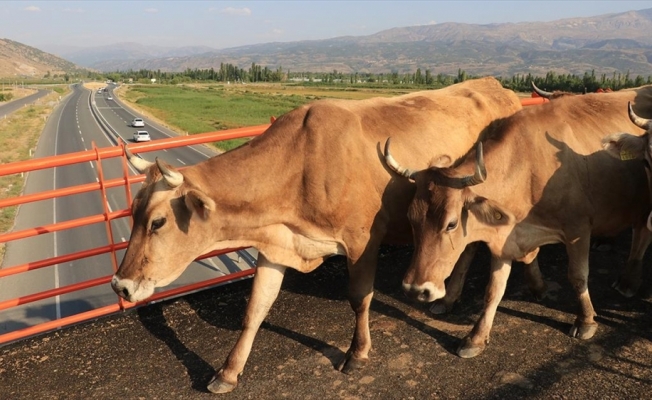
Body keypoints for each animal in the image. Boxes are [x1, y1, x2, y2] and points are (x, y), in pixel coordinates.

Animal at [108, 76, 524, 392]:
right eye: (132, 211)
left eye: (157, 222)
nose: (120, 285)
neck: (301, 164)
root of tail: (496, 85)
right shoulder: (276, 245)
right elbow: (255, 308)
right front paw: (228, 371)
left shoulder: (361, 241)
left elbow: (360, 299)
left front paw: (357, 354)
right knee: (466, 249)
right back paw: (447, 299)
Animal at [384, 85, 652, 360]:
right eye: (411, 218)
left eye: (451, 224)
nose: (415, 289)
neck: (527, 167)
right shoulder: (503, 239)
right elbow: (493, 290)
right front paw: (476, 337)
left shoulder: (578, 229)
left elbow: (578, 276)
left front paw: (585, 320)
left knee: (641, 236)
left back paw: (628, 282)